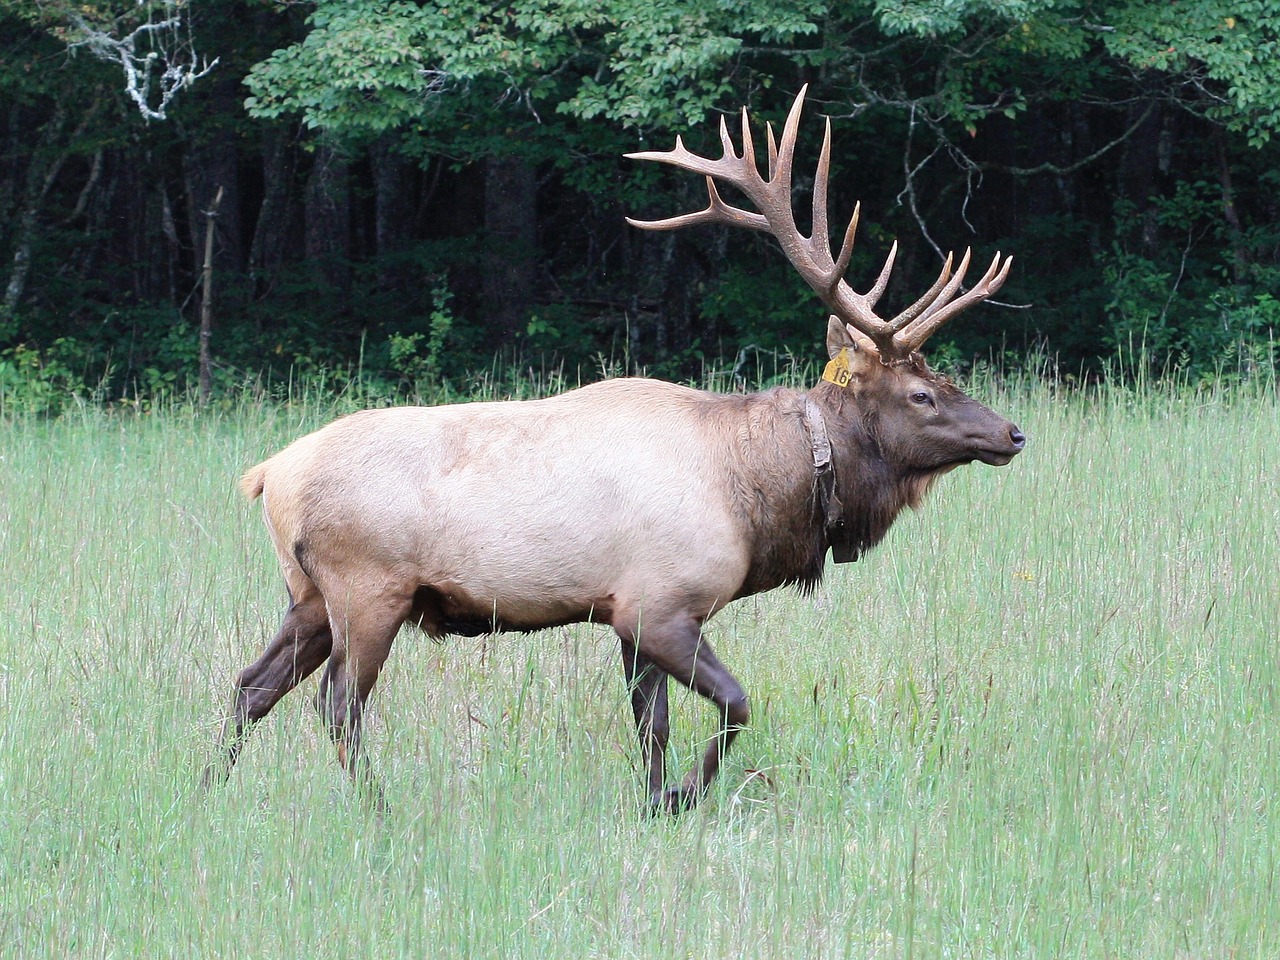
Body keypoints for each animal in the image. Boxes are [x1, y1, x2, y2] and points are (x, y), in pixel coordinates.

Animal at [204, 88, 1024, 814]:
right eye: (920, 395)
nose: (1012, 433)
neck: (757, 494)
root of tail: (268, 475)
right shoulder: (661, 604)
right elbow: (736, 704)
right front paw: (685, 796)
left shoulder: (626, 612)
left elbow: (650, 727)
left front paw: (656, 802)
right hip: (367, 588)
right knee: (336, 705)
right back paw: (379, 809)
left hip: (307, 595)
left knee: (251, 685)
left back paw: (202, 792)